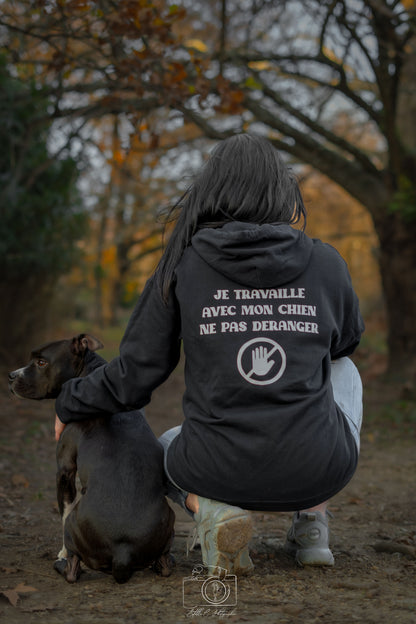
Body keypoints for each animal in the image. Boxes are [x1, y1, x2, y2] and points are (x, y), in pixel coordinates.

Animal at [8, 334, 174, 584]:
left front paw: (61, 553)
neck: (88, 373)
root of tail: (123, 551)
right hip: (169, 521)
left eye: (41, 362)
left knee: (72, 570)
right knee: (164, 565)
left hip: (75, 527)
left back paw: (62, 564)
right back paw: (163, 563)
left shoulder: (64, 471)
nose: (11, 376)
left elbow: (63, 512)